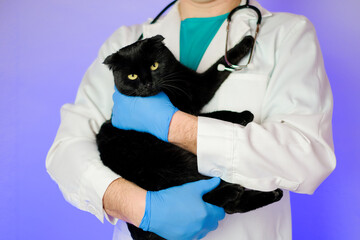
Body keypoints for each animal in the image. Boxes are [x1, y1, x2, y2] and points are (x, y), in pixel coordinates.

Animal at [97, 34, 282, 239]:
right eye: (132, 76)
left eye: (154, 65)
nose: (147, 84)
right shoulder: (193, 101)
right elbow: (212, 115)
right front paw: (242, 115)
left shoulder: (195, 86)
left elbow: (220, 66)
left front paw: (246, 41)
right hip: (175, 164)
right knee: (206, 199)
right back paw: (232, 192)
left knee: (231, 205)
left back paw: (272, 194)